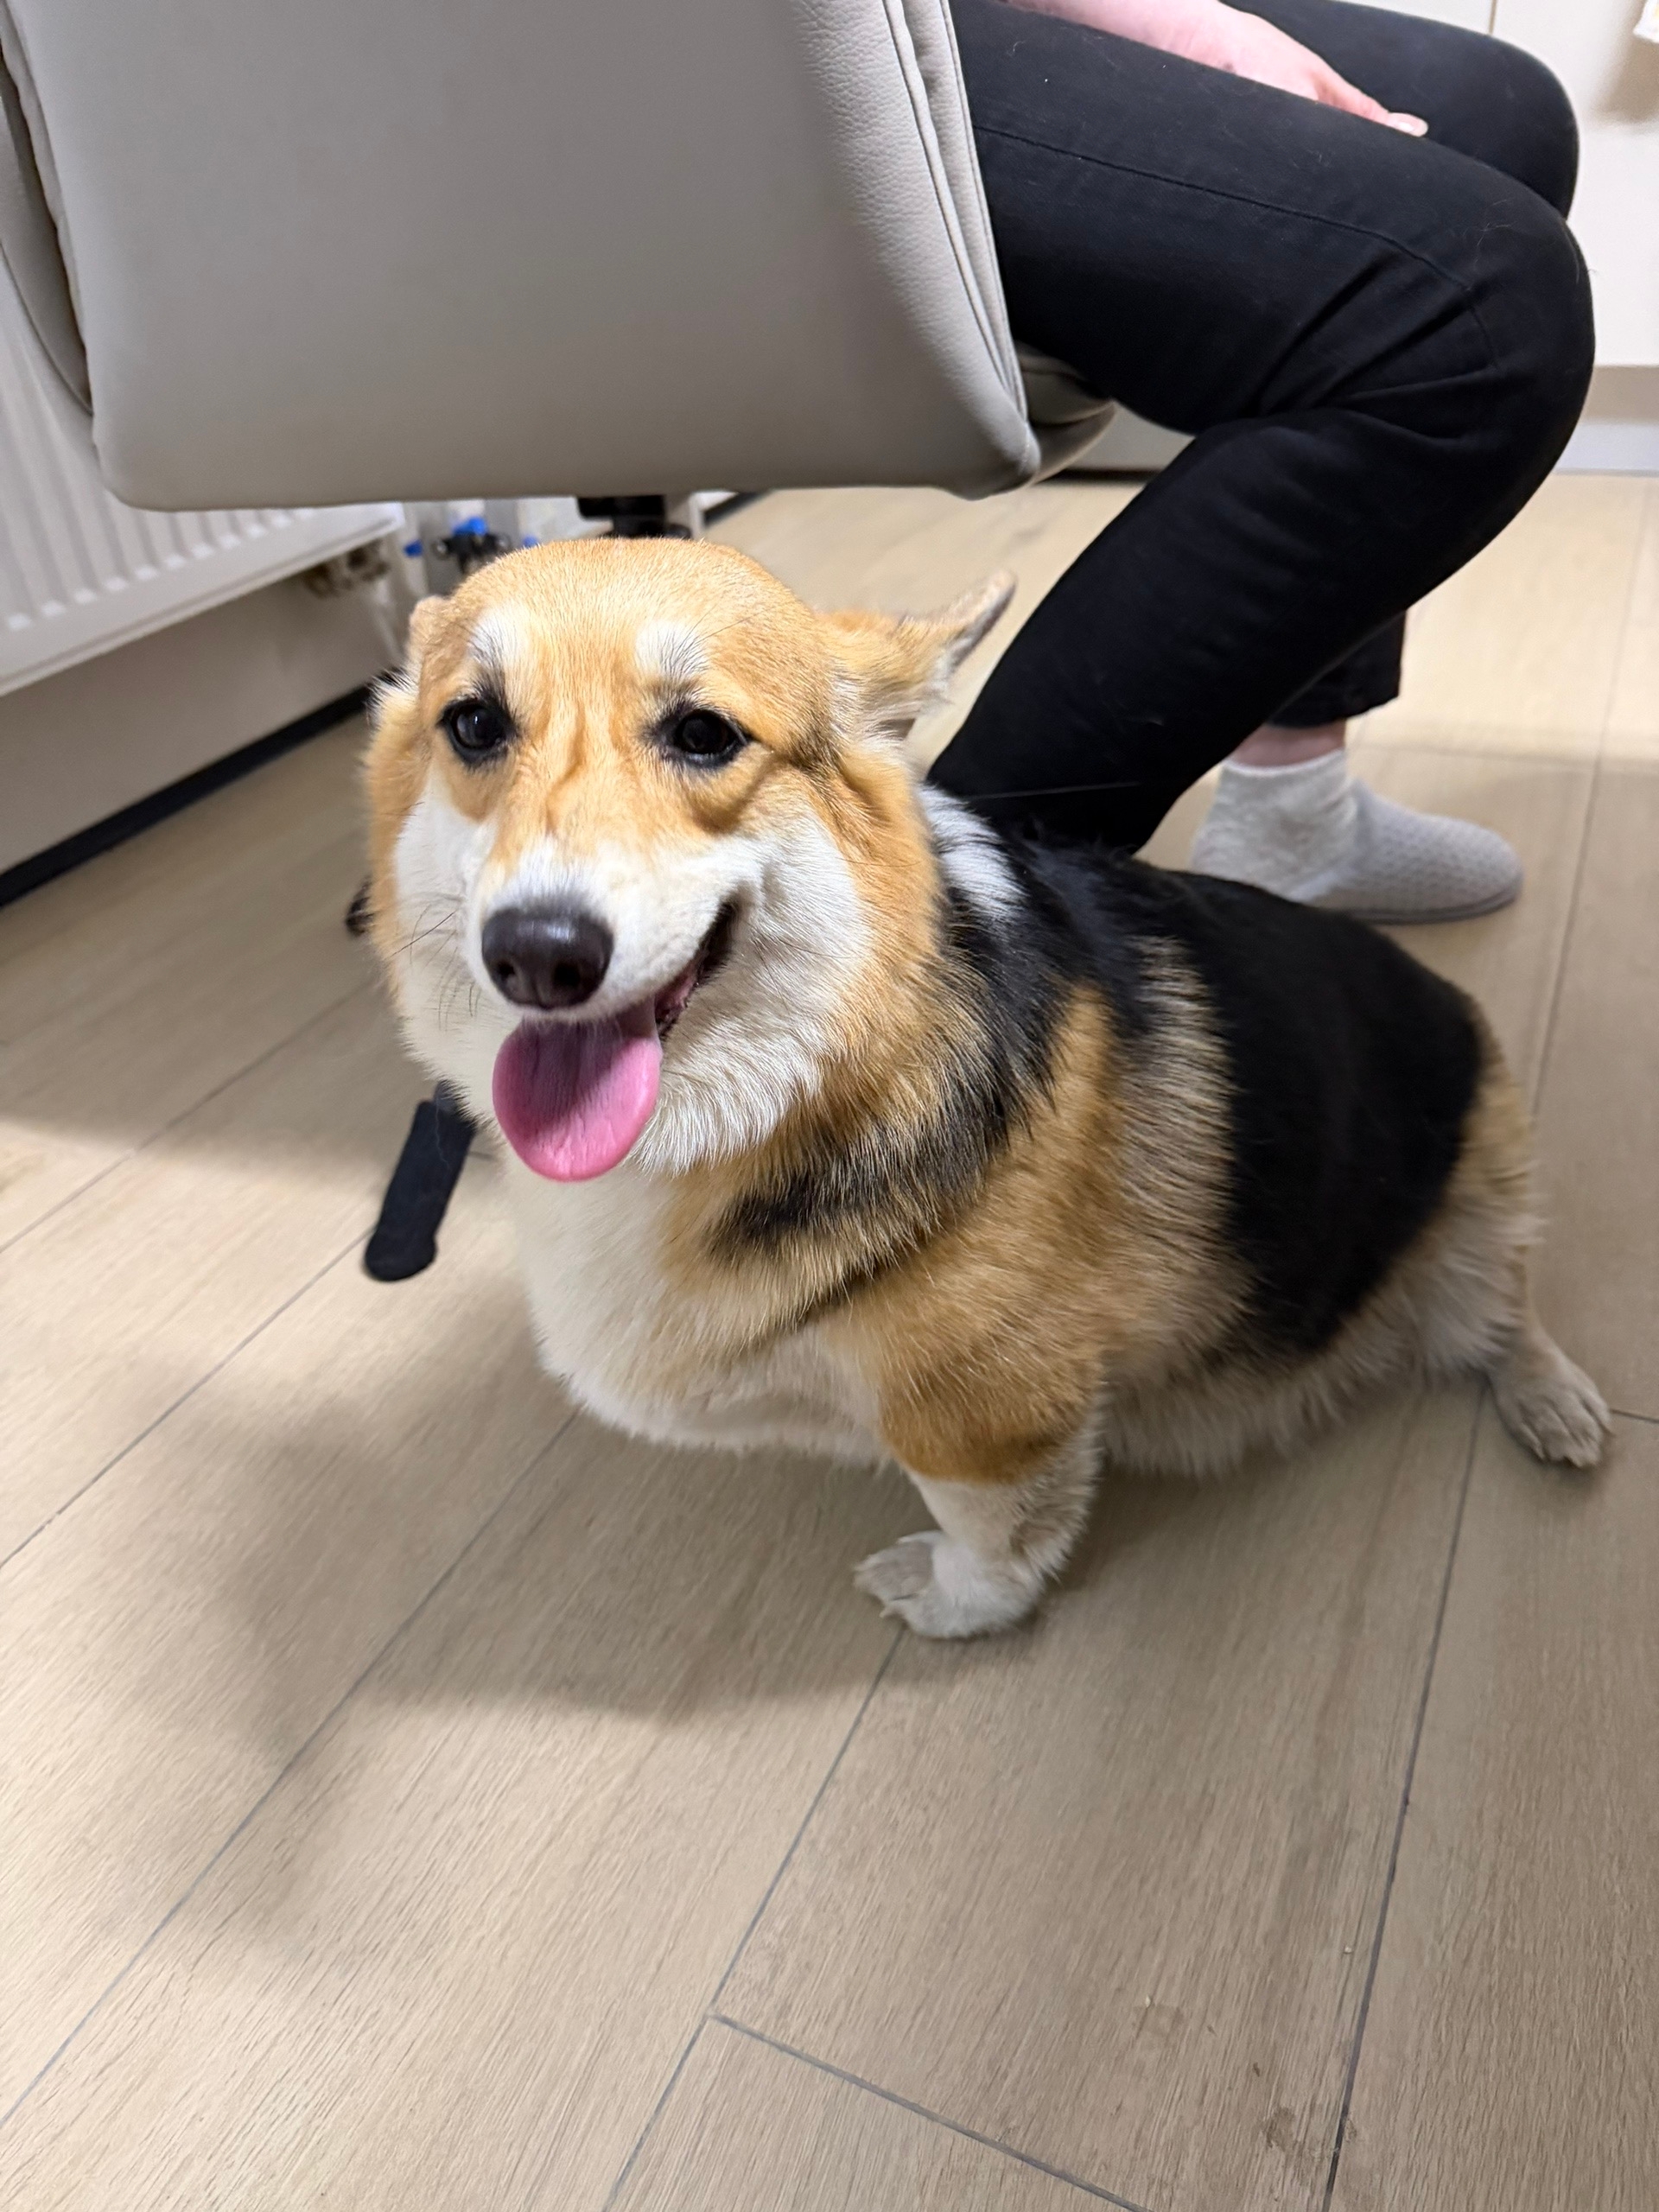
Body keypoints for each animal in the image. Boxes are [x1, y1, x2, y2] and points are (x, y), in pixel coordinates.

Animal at [364, 536, 1609, 1639]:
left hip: (1474, 1208)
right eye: (473, 723)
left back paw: (1557, 1406)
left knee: (1508, 1312)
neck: (785, 1085)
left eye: (704, 733)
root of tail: (1448, 999)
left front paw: (953, 1605)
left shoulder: (985, 1414)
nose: (538, 954)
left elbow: (990, 1535)